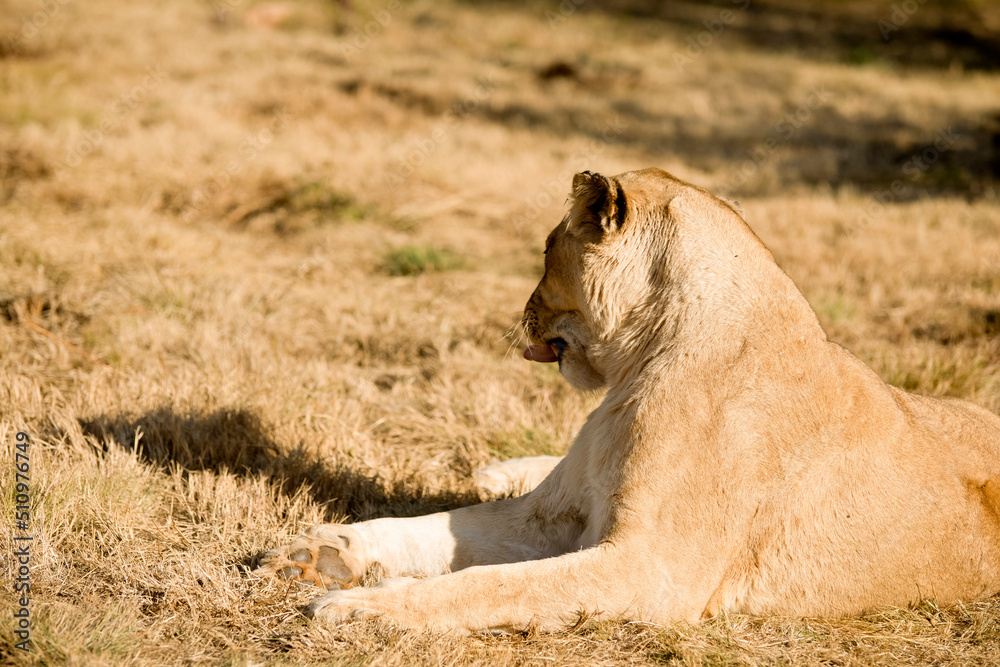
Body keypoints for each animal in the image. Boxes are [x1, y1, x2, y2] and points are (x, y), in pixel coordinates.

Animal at [255, 168, 1000, 633]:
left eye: (546, 250)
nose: (523, 311)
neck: (638, 370)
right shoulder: (550, 515)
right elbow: (425, 527)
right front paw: (313, 552)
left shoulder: (650, 568)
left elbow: (496, 585)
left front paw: (363, 607)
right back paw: (496, 469)